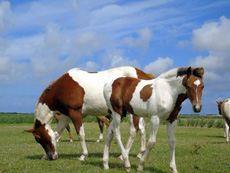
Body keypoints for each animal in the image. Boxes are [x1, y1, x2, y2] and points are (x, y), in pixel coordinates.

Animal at [25, 66, 155, 161]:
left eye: (40, 139)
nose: (52, 157)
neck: (62, 88)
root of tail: (144, 75)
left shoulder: (75, 113)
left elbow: (80, 134)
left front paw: (83, 155)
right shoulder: (66, 115)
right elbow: (57, 133)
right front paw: (45, 155)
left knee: (133, 130)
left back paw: (123, 156)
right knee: (142, 128)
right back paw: (140, 153)